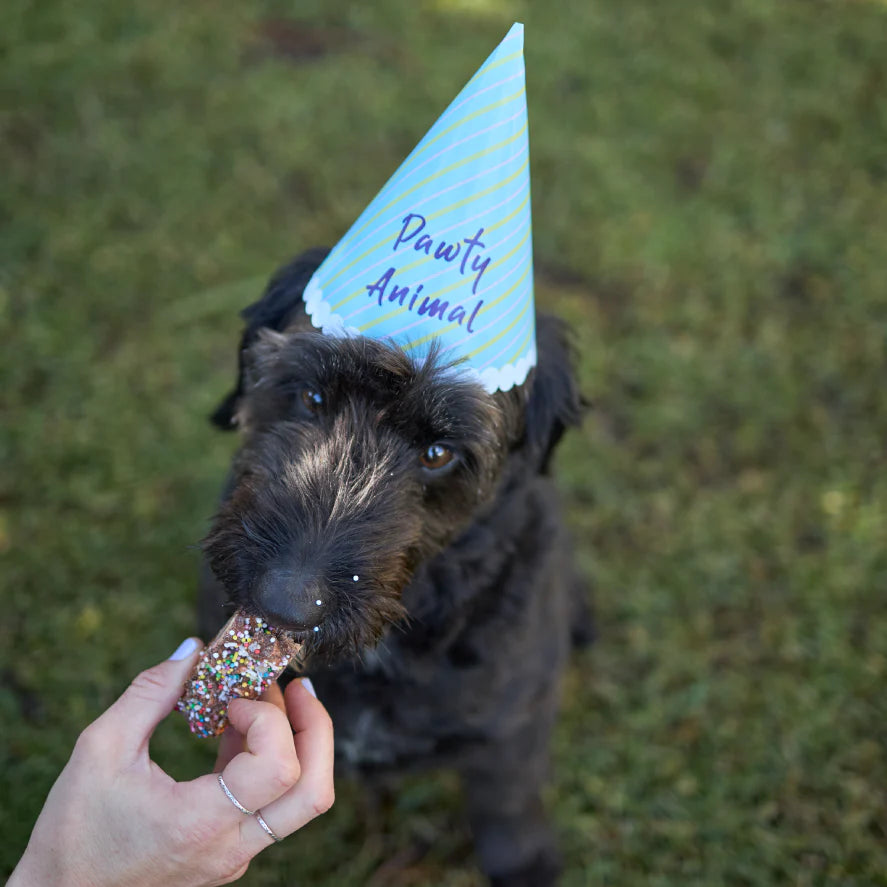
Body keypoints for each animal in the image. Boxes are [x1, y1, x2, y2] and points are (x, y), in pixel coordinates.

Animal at [200, 246, 588, 884]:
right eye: (312, 398)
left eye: (437, 453)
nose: (285, 603)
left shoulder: (512, 731)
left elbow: (508, 806)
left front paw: (525, 862)